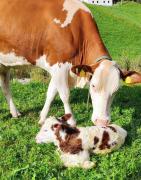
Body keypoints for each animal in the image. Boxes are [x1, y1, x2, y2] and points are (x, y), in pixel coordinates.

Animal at [0, 0, 141, 126]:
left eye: (116, 90)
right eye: (93, 86)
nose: (102, 122)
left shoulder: (57, 68)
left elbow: (51, 93)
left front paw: (42, 118)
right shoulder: (59, 65)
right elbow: (64, 95)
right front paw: (71, 120)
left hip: (4, 64)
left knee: (5, 87)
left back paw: (15, 113)